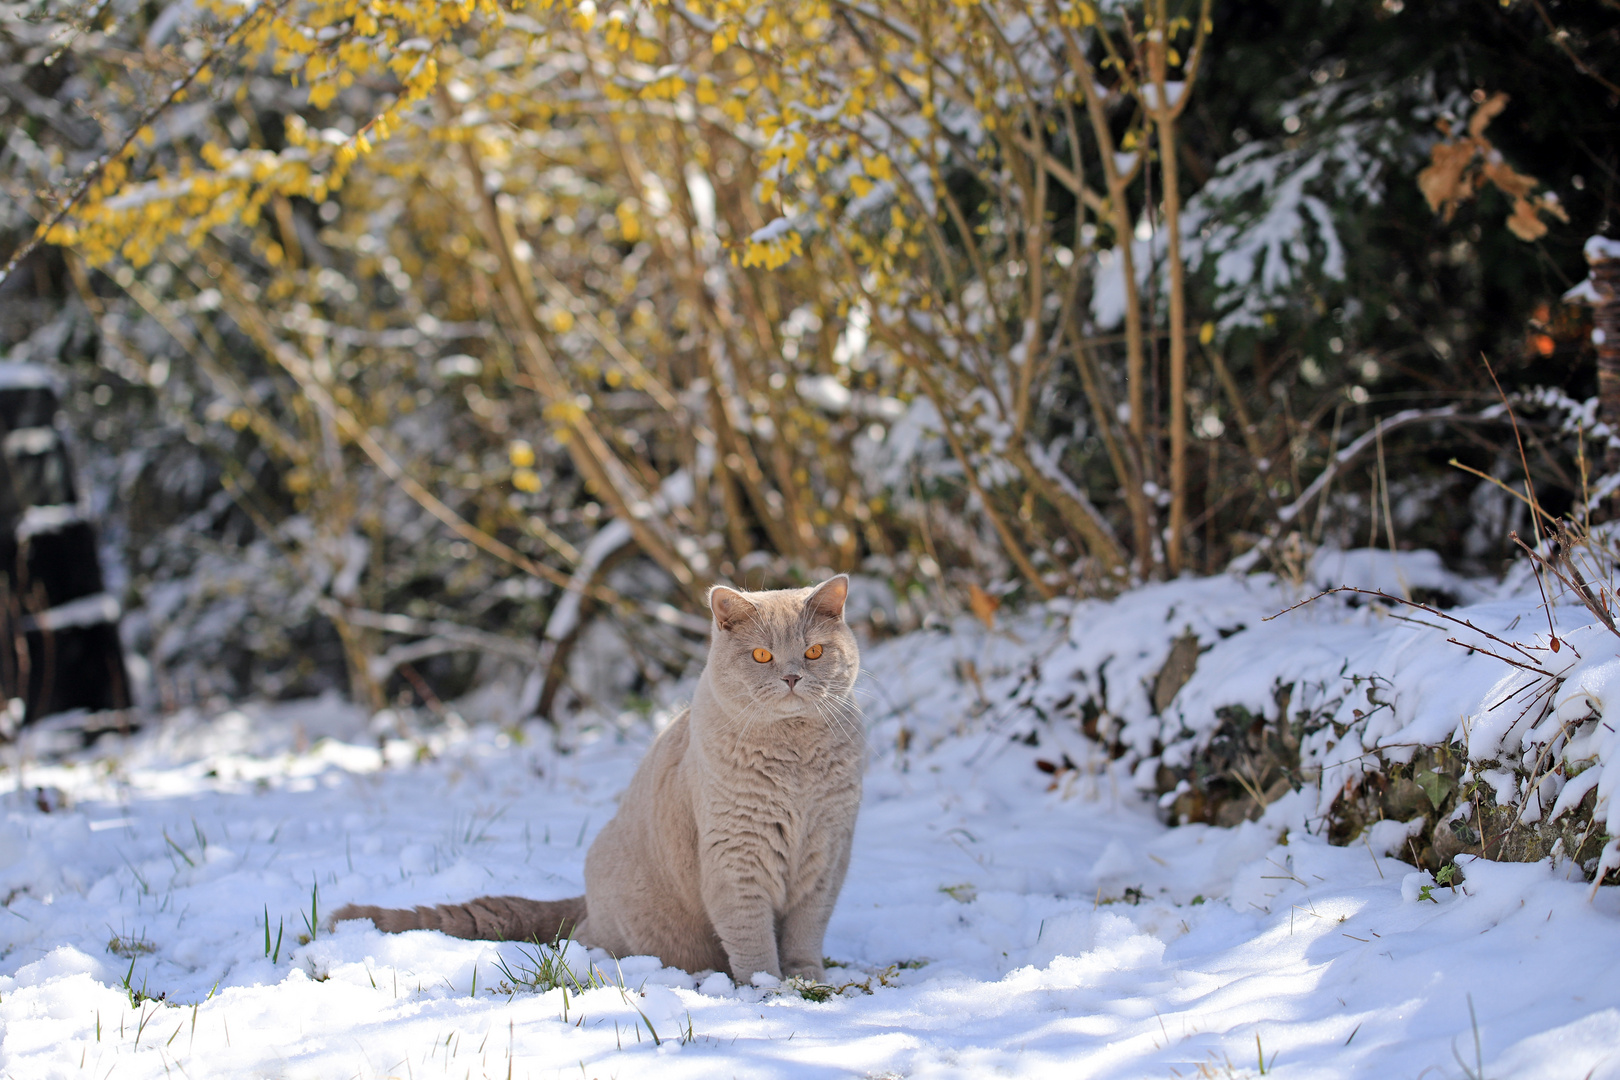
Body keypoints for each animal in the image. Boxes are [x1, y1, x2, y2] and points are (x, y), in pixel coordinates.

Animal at [327, 579, 861, 984]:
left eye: (813, 651)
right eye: (761, 655)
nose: (791, 676)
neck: (795, 765)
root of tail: (585, 899)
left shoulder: (827, 853)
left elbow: (806, 929)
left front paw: (806, 979)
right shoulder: (737, 854)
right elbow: (750, 933)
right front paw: (767, 987)